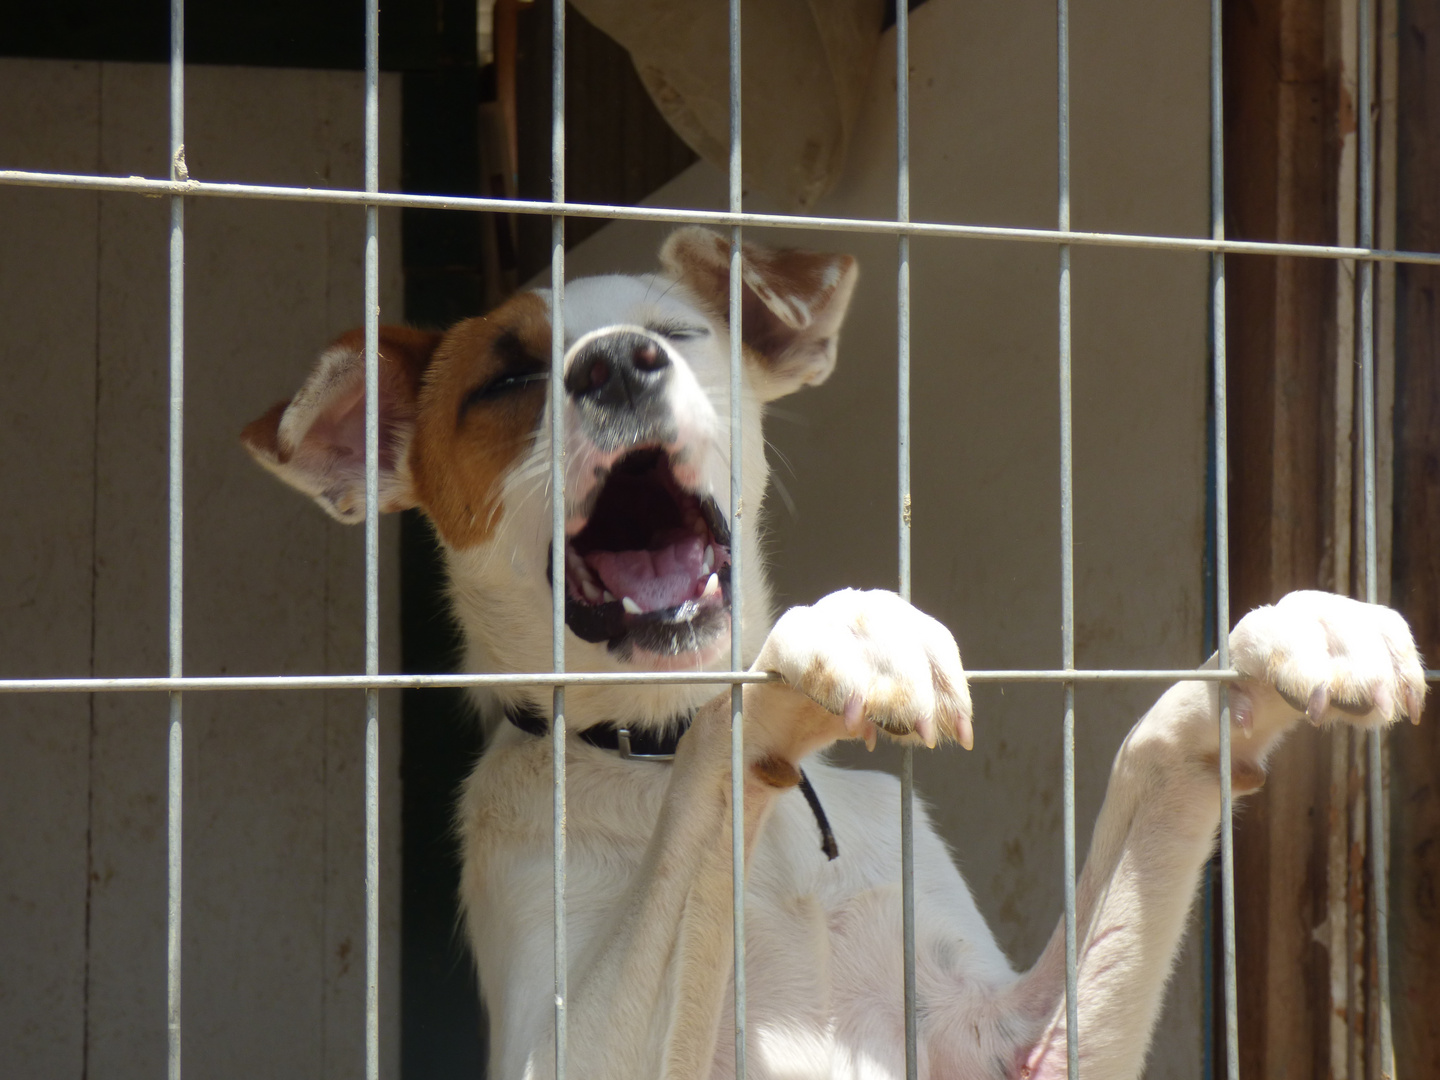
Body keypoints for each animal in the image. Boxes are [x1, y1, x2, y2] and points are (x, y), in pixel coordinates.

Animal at [241, 224, 1422, 1077]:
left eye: (677, 331)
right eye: (504, 381)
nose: (618, 365)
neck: (650, 748)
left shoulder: (1004, 1043)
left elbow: (1156, 758)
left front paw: (1290, 634)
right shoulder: (560, 1041)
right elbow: (711, 771)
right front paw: (839, 635)